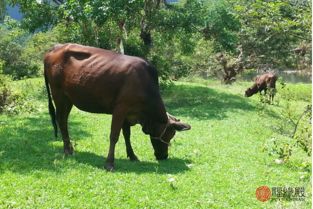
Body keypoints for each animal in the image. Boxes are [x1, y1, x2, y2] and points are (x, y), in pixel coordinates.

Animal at [44, 43, 190, 171]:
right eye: (169, 135)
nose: (164, 156)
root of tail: (55, 48)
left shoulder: (128, 113)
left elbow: (127, 135)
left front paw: (132, 156)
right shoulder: (120, 109)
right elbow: (114, 136)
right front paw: (109, 163)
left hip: (68, 99)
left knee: (63, 120)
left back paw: (69, 148)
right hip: (59, 95)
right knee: (62, 121)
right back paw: (67, 150)